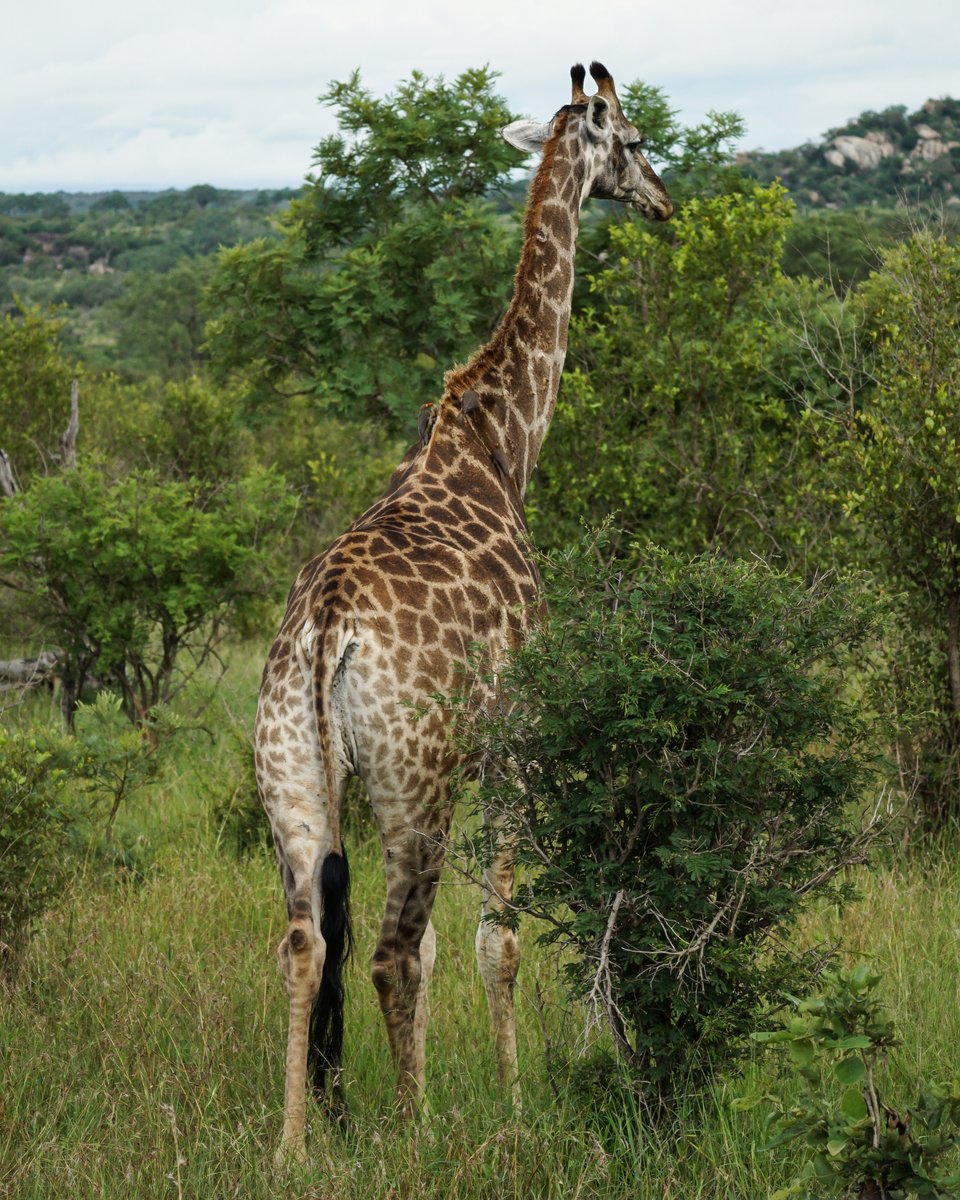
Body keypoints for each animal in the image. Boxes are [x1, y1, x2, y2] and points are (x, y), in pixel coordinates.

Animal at [254, 61, 673, 1158]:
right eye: (634, 139)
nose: (663, 201)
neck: (502, 438)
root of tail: (326, 633)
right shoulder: (518, 740)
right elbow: (499, 940)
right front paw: (514, 1108)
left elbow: (456, 944)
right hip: (420, 779)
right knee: (390, 952)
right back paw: (415, 1134)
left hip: (293, 776)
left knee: (306, 943)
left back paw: (294, 1145)